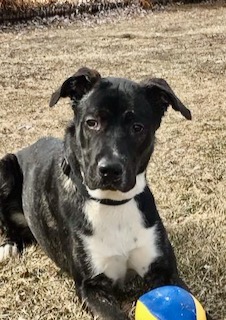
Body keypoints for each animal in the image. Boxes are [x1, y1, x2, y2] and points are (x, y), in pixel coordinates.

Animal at [0, 66, 213, 318]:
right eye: (92, 122)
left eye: (137, 127)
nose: (110, 169)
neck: (112, 204)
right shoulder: (91, 286)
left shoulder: (165, 271)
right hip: (5, 167)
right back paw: (9, 245)